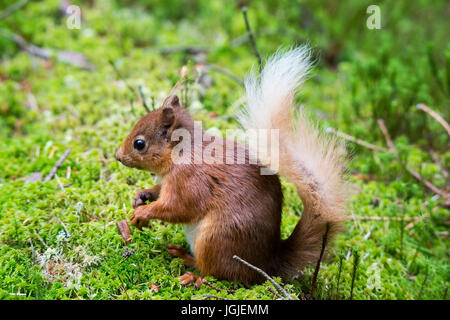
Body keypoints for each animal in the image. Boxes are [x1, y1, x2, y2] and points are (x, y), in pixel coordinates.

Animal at [115, 47, 348, 284]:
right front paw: (141, 196)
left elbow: (178, 207)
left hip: (216, 237)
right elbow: (159, 190)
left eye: (139, 144)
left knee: (218, 273)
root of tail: (267, 264)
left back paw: (191, 271)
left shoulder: (190, 181)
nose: (118, 156)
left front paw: (143, 213)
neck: (181, 153)